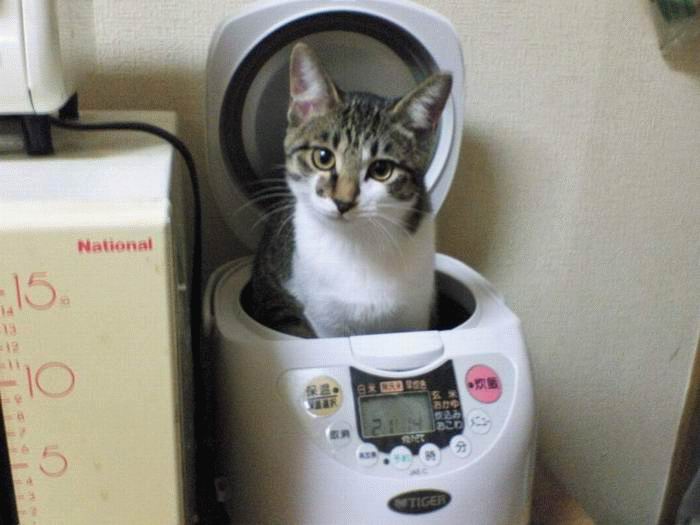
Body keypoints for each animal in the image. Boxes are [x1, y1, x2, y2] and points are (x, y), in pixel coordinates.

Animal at [248, 42, 452, 338]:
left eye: (381, 169)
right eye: (323, 157)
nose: (342, 202)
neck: (358, 241)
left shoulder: (417, 314)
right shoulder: (324, 322)